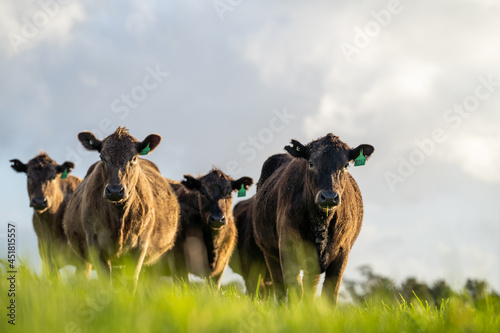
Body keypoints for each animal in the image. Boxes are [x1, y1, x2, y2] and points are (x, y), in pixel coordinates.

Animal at [62, 127, 179, 288]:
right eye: (102, 157)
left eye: (134, 158)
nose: (115, 190)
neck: (119, 217)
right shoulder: (95, 246)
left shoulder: (139, 247)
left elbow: (131, 282)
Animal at [252, 134, 374, 302]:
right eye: (311, 164)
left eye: (345, 166)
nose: (329, 197)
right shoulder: (287, 249)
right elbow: (295, 291)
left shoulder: (342, 254)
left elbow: (329, 295)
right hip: (269, 254)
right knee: (280, 289)